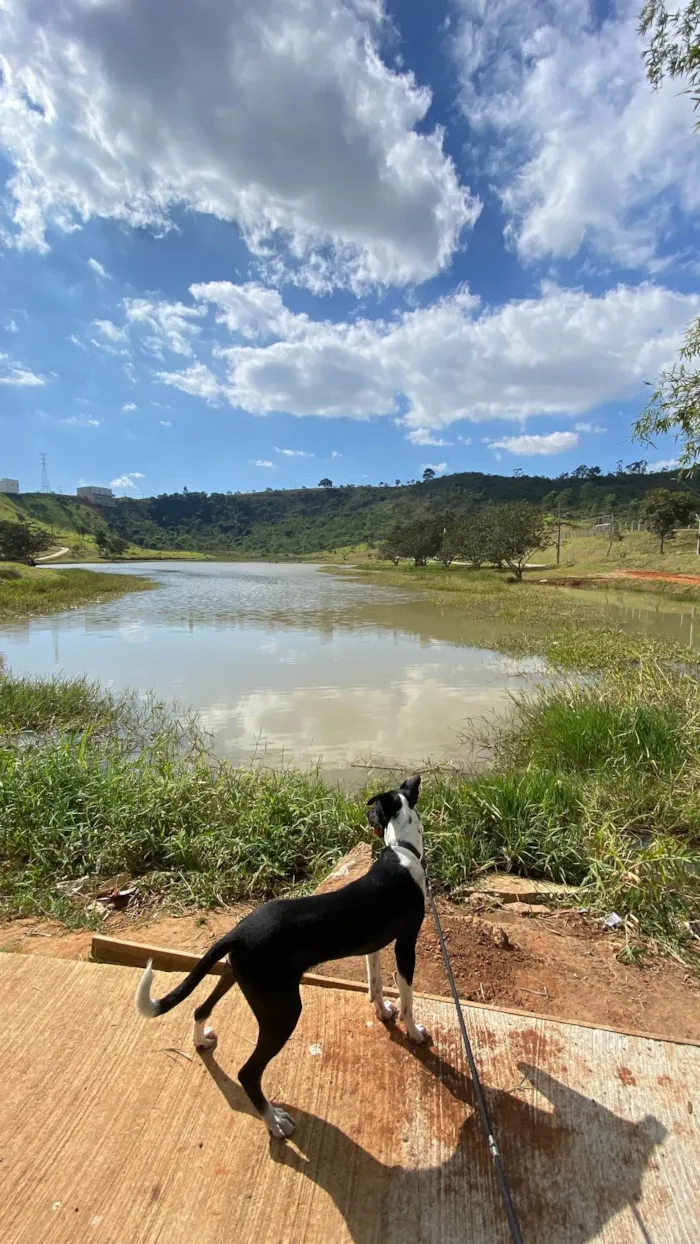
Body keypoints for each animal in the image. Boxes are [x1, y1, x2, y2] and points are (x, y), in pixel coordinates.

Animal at [133, 776, 427, 1139]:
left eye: (372, 811)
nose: (362, 815)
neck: (403, 850)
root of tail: (238, 931)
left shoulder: (375, 944)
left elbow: (375, 983)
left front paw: (383, 1012)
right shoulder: (406, 944)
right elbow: (407, 998)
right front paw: (414, 1032)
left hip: (236, 977)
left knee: (201, 1008)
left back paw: (202, 1040)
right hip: (283, 1011)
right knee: (248, 1072)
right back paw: (274, 1122)